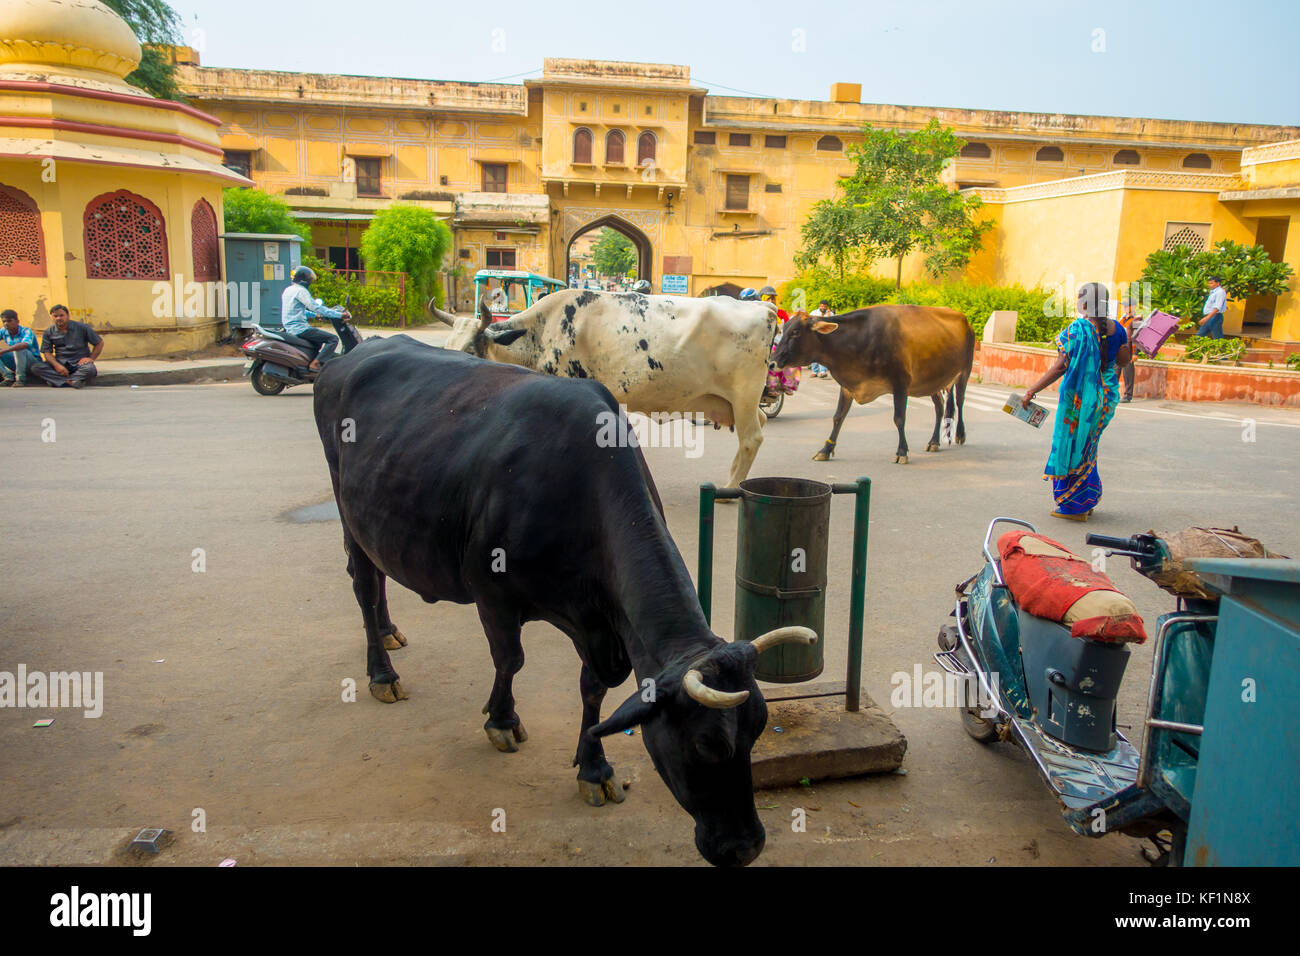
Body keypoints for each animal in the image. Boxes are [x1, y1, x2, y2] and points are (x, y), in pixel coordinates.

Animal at [312, 335, 811, 868]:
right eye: (706, 745)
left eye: (758, 730)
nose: (747, 847)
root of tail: (358, 350)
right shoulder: (492, 594)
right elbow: (510, 660)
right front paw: (502, 720)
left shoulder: (599, 626)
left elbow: (593, 690)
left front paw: (593, 768)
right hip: (347, 507)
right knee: (364, 587)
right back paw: (382, 673)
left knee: (379, 577)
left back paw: (390, 632)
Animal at [431, 290, 774, 486]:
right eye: (446, 348)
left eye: (471, 351)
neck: (543, 330)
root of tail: (765, 310)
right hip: (737, 401)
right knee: (758, 426)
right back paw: (732, 478)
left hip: (744, 394)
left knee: (752, 437)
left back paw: (730, 489)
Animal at [769, 304, 977, 465]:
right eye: (783, 330)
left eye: (795, 332)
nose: (772, 362)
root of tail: (962, 317)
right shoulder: (848, 385)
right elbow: (838, 417)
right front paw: (826, 449)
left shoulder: (900, 383)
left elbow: (899, 418)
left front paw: (902, 452)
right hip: (932, 381)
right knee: (940, 408)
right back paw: (934, 441)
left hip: (964, 371)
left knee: (959, 401)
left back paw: (960, 434)